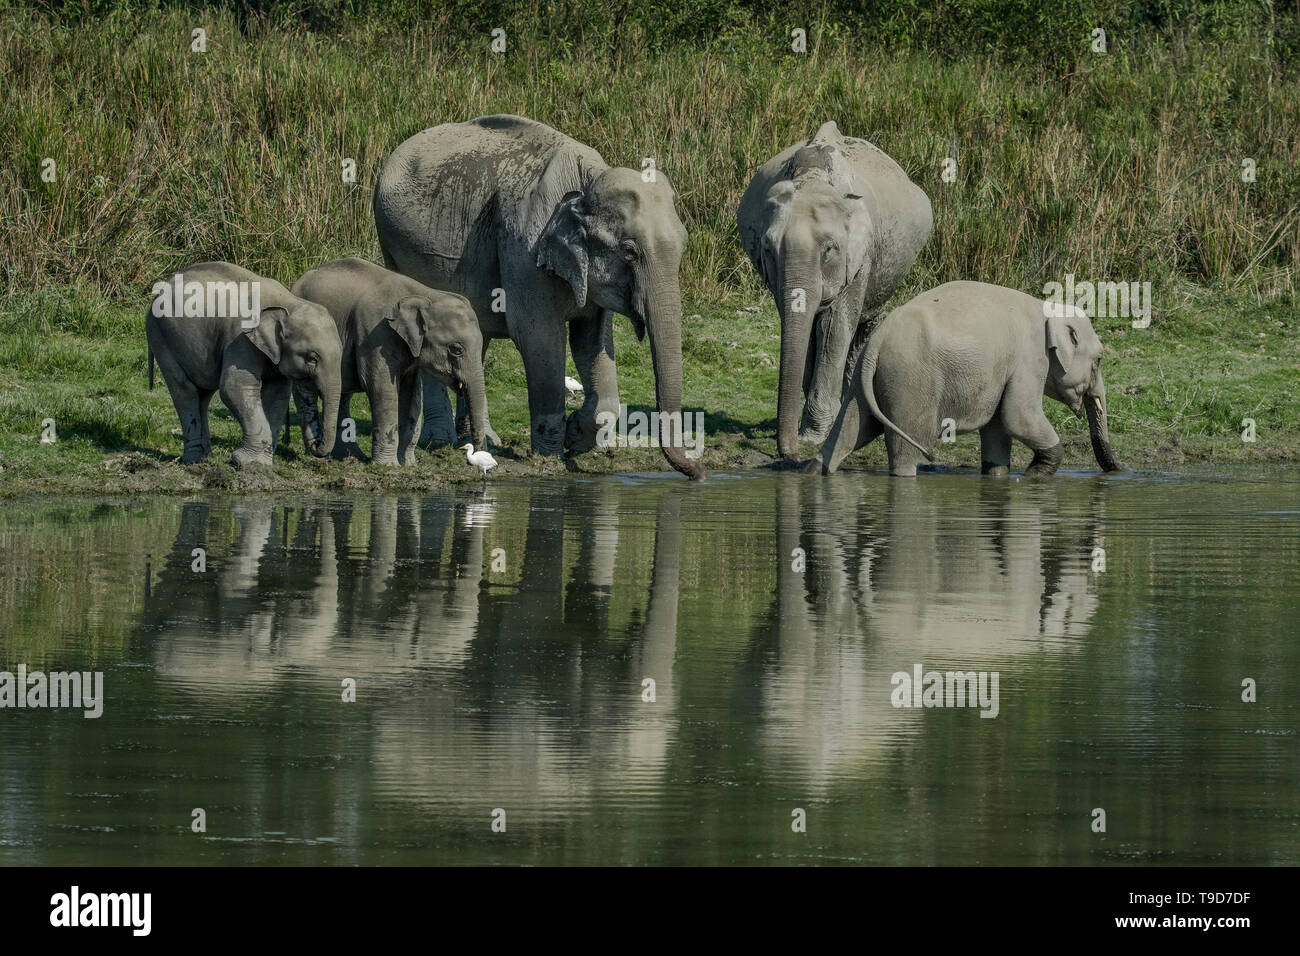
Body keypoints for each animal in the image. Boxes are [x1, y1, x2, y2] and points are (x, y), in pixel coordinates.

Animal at [145, 261, 342, 468]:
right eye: (312, 358)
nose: (316, 445)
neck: (288, 303)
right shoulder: (239, 340)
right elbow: (234, 387)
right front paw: (248, 463)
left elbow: (277, 394)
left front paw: (262, 464)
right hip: (160, 337)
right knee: (184, 389)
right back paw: (195, 461)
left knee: (203, 394)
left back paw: (206, 458)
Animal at [289, 257, 488, 466]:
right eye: (456, 349)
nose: (478, 456)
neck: (425, 294)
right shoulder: (374, 335)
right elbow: (380, 387)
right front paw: (387, 466)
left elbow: (413, 395)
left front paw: (408, 464)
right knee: (306, 393)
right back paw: (314, 455)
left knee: (342, 393)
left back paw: (346, 455)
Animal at [373, 113, 706, 480]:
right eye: (629, 252)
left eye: (683, 246)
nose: (698, 473)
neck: (587, 179)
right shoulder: (524, 248)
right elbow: (540, 337)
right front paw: (550, 456)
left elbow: (592, 342)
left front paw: (576, 437)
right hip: (393, 246)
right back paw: (442, 439)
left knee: (477, 340)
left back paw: (483, 439)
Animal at [737, 121, 933, 459]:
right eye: (768, 249)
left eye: (829, 249)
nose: (790, 454)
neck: (813, 176)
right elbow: (802, 326)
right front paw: (810, 432)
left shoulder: (860, 258)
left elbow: (834, 326)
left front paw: (815, 436)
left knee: (865, 324)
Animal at [808, 280, 1125, 478]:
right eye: (1099, 360)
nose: (1120, 469)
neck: (1049, 308)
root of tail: (878, 340)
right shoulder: (1028, 360)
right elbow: (1018, 416)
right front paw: (1035, 474)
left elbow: (999, 428)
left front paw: (1000, 474)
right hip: (910, 381)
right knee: (908, 444)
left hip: (868, 379)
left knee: (852, 429)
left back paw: (817, 468)